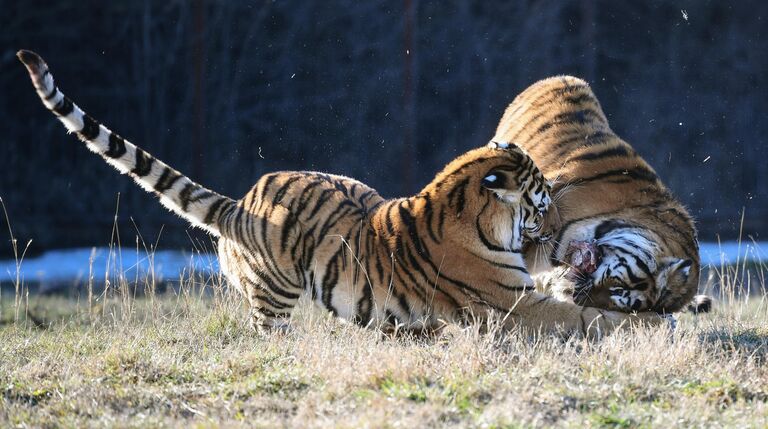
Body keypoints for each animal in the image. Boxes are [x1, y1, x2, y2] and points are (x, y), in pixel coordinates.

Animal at [16, 50, 672, 336]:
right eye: (540, 197)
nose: (558, 220)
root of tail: (242, 203)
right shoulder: (516, 304)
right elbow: (581, 315)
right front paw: (645, 326)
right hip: (273, 294)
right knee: (268, 327)